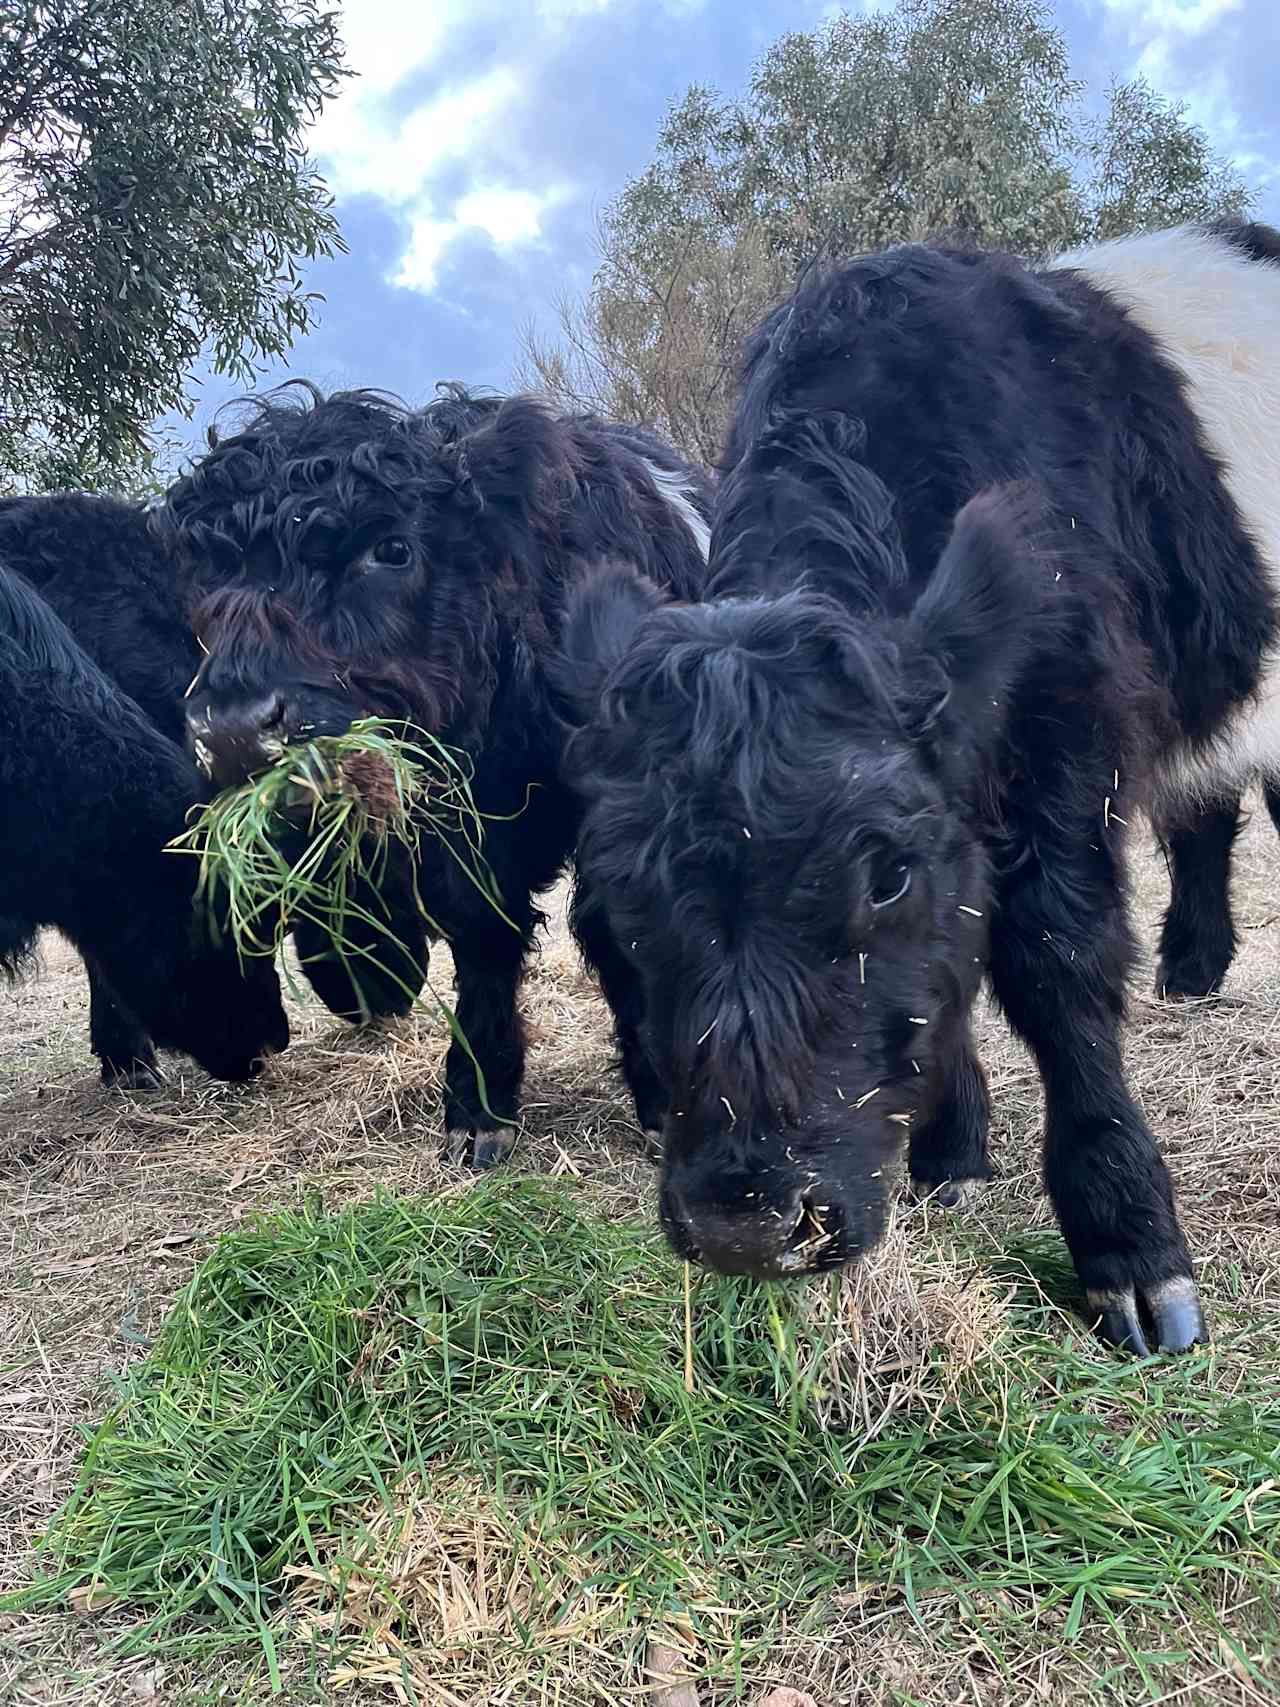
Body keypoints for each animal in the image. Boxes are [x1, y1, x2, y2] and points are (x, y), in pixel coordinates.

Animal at [157, 385, 716, 1160]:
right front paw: (479, 1103)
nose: (235, 728)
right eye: (210, 575)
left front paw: (662, 1099)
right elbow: (484, 936)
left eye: (391, 548)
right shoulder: (460, 835)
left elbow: (617, 934)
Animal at [559, 220, 1280, 1351]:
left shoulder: (1069, 740)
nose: (744, 1226)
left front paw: (1125, 1237)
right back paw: (1191, 970)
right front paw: (952, 1149)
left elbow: (1054, 961)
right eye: (622, 901)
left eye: (886, 874)